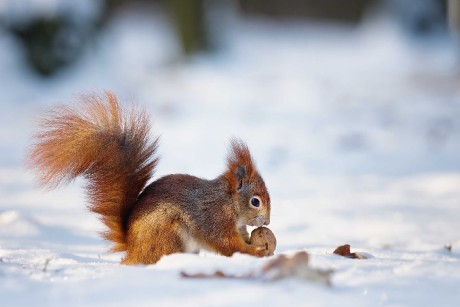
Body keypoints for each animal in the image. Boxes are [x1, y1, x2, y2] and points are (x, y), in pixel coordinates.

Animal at [28, 92, 272, 264]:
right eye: (255, 201)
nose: (268, 222)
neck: (228, 202)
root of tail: (132, 248)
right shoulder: (213, 219)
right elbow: (227, 245)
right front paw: (257, 251)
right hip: (168, 234)